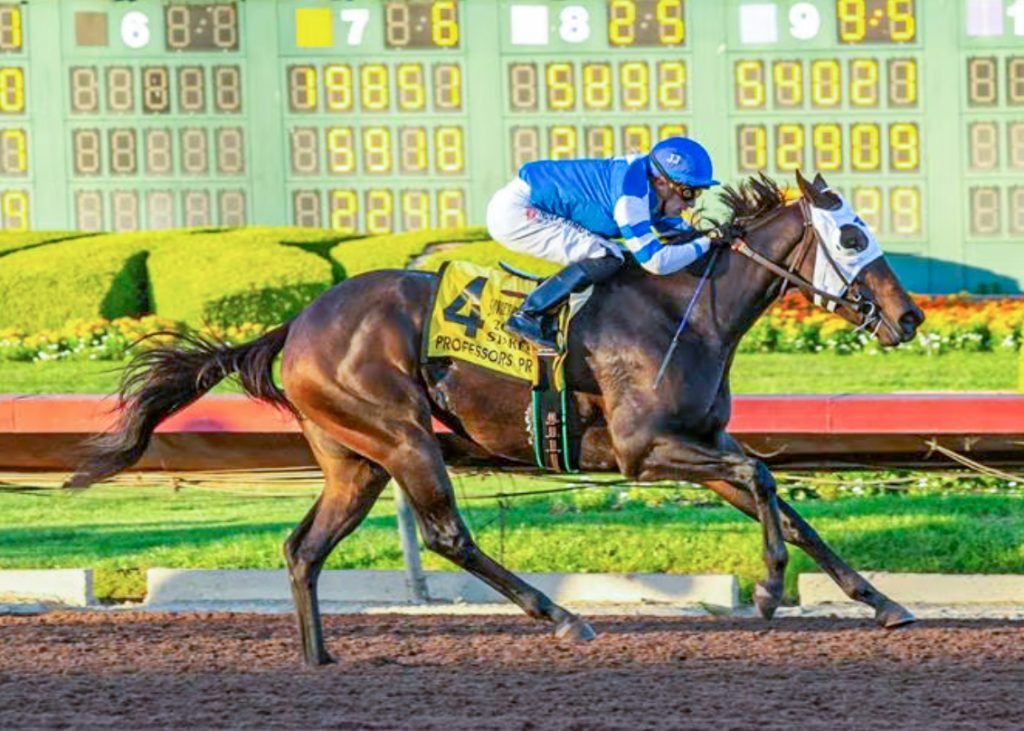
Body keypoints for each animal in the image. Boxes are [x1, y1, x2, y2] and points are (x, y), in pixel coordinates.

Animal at [68, 172, 925, 667]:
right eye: (852, 235)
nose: (910, 317)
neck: (687, 307)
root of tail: (297, 323)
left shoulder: (699, 439)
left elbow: (779, 497)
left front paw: (881, 602)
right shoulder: (646, 449)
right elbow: (765, 475)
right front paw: (770, 589)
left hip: (355, 459)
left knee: (303, 547)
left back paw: (318, 659)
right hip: (403, 436)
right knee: (448, 535)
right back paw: (563, 617)